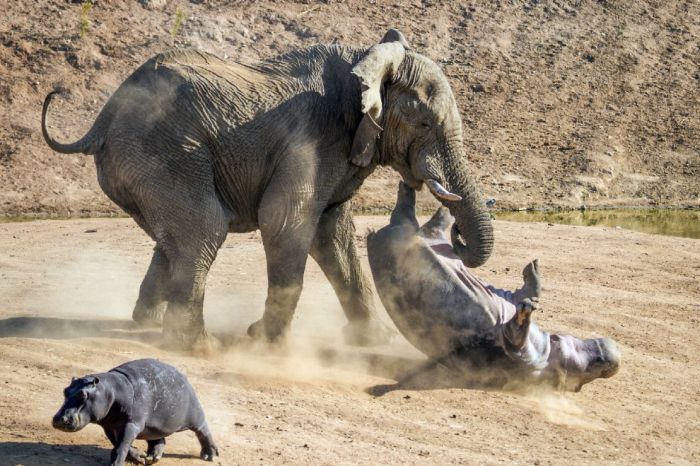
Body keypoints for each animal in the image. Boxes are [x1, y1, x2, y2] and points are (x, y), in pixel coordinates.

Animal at [39, 29, 492, 348]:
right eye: (425, 124)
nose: (456, 234)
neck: (367, 60)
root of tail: (103, 117)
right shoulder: (312, 139)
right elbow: (286, 222)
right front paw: (265, 342)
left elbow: (334, 234)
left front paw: (376, 340)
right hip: (161, 152)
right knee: (204, 229)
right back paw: (197, 346)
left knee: (176, 239)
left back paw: (145, 322)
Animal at [53, 358, 217, 464]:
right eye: (65, 390)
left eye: (83, 394)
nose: (59, 419)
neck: (110, 390)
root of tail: (183, 376)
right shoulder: (109, 426)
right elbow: (119, 444)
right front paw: (139, 457)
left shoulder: (131, 424)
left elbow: (120, 448)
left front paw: (117, 463)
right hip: (154, 427)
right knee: (158, 439)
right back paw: (152, 457)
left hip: (195, 414)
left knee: (203, 430)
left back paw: (210, 455)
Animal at [366, 184, 616, 392]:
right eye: (594, 370)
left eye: (585, 376)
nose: (611, 362)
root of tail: (376, 237)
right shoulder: (513, 309)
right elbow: (526, 296)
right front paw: (532, 277)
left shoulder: (517, 352)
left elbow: (516, 332)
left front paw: (528, 306)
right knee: (428, 218)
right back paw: (483, 202)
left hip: (408, 234)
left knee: (421, 216)